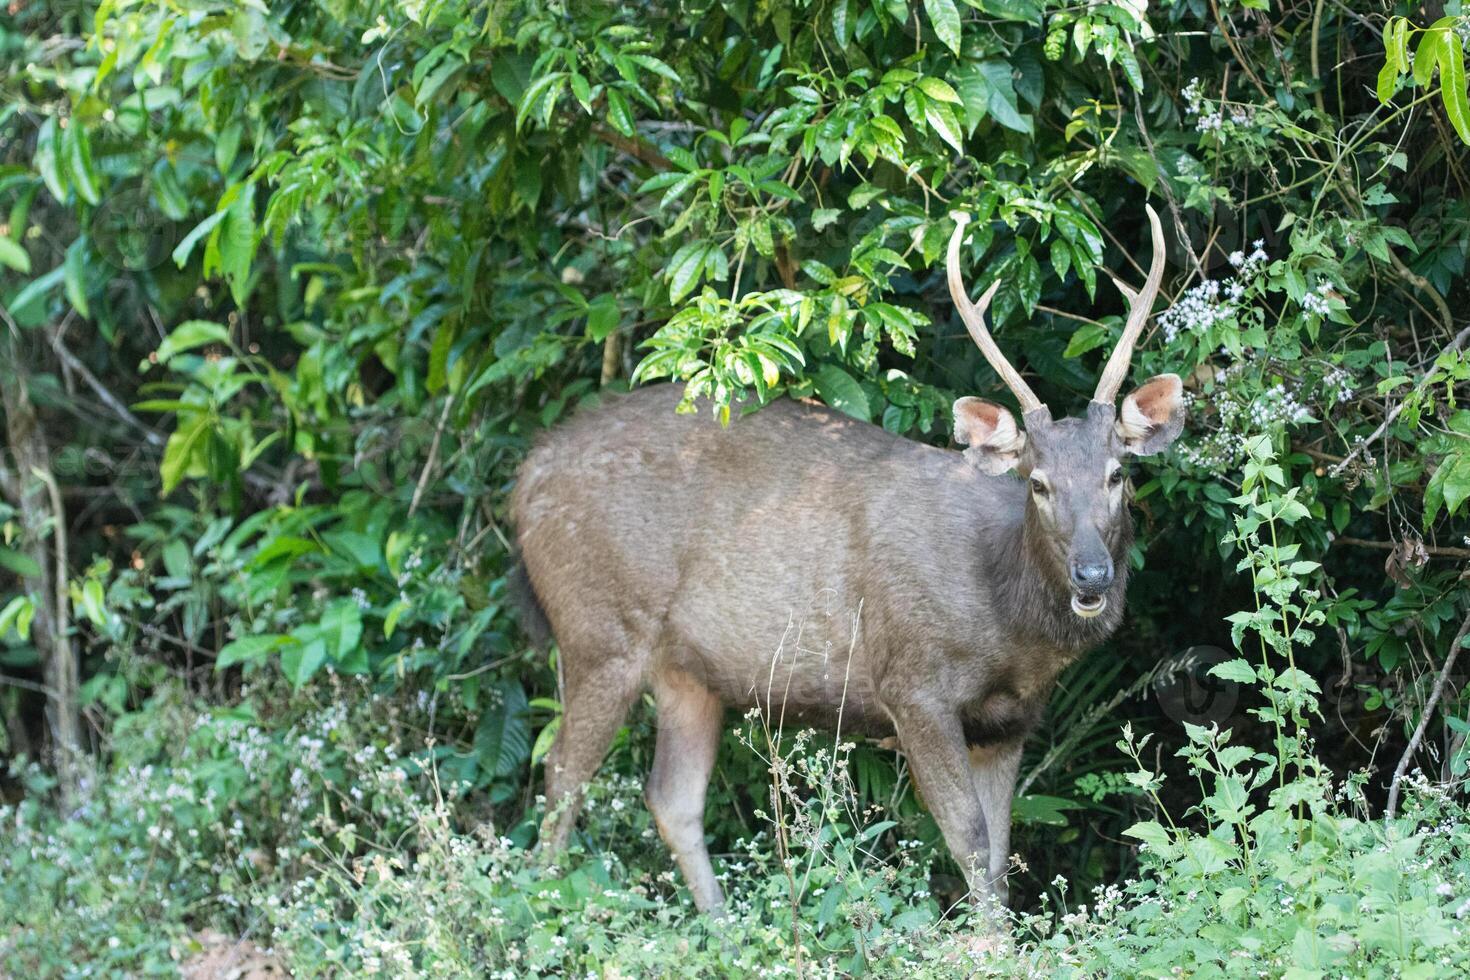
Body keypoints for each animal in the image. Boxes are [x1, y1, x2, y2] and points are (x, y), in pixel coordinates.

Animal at [508, 202, 1181, 916]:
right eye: (1039, 483)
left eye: (1117, 474)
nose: (1092, 576)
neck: (1008, 625)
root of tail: (524, 480)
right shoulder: (912, 685)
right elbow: (970, 843)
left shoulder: (1009, 720)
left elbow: (999, 858)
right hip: (597, 629)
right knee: (562, 777)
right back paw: (546, 913)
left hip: (687, 669)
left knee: (672, 796)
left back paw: (721, 925)